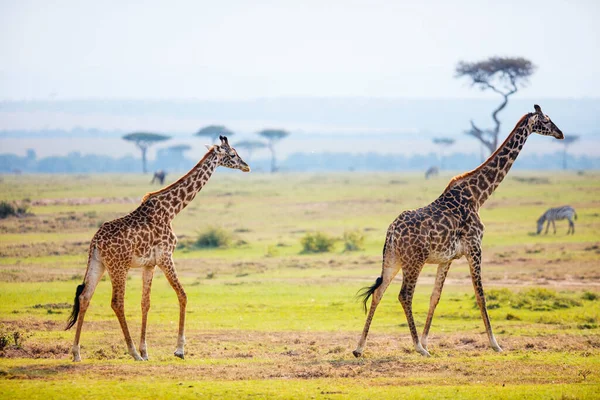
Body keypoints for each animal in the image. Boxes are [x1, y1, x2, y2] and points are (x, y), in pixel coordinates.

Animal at [66, 136, 251, 360]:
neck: (171, 210)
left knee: (85, 297)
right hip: (118, 266)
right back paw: (132, 353)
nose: (246, 166)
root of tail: (95, 242)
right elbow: (183, 295)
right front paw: (179, 349)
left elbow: (145, 303)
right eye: (232, 154)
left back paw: (77, 353)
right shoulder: (166, 257)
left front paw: (146, 351)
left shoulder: (149, 264)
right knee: (117, 302)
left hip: (98, 264)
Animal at [352, 104, 564, 358]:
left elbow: (435, 297)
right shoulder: (475, 247)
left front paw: (427, 341)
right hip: (414, 261)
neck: (478, 196)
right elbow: (481, 295)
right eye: (547, 120)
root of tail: (391, 232)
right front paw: (495, 344)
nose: (561, 134)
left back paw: (360, 348)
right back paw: (417, 348)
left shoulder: (447, 258)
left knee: (379, 292)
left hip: (392, 259)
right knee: (404, 295)